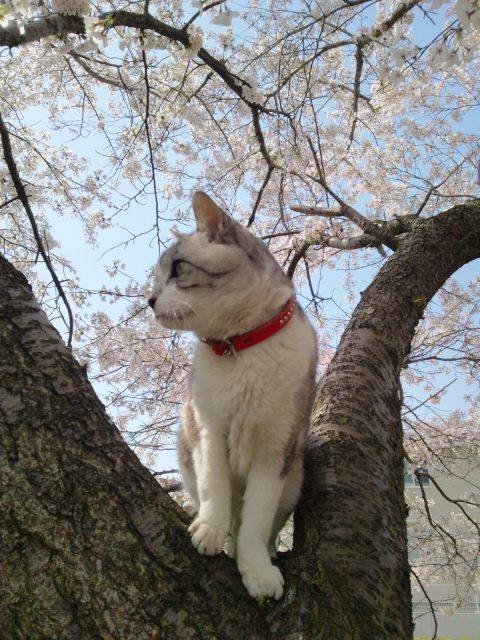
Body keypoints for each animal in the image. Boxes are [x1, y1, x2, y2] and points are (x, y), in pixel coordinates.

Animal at [148, 191, 317, 600]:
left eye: (178, 269)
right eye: (156, 277)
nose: (150, 299)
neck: (239, 345)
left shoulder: (277, 448)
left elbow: (255, 523)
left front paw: (256, 570)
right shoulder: (207, 429)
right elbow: (215, 488)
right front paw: (209, 530)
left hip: (294, 478)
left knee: (257, 526)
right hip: (184, 443)